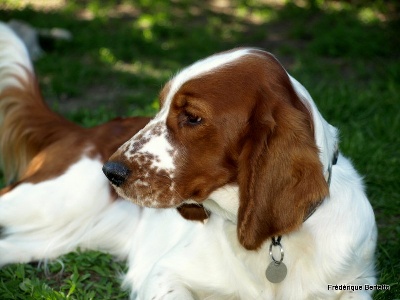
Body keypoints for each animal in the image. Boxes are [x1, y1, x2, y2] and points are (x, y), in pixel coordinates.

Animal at [0, 22, 376, 298]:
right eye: (160, 106)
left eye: (192, 117)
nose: (110, 171)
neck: (273, 242)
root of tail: (85, 130)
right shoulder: (166, 273)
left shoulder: (355, 285)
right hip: (49, 200)